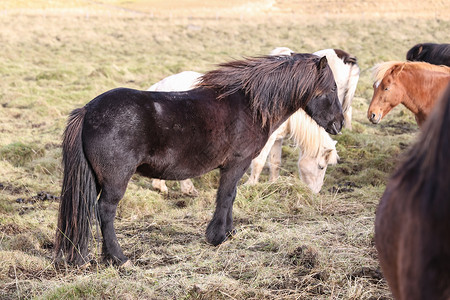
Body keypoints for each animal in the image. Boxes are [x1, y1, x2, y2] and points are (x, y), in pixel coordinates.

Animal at [56, 53, 344, 264]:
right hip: (116, 180)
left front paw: (229, 232)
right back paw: (118, 258)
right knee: (105, 211)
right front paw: (218, 236)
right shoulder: (236, 164)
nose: (339, 124)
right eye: (331, 88)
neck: (250, 105)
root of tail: (88, 110)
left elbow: (231, 197)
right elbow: (226, 196)